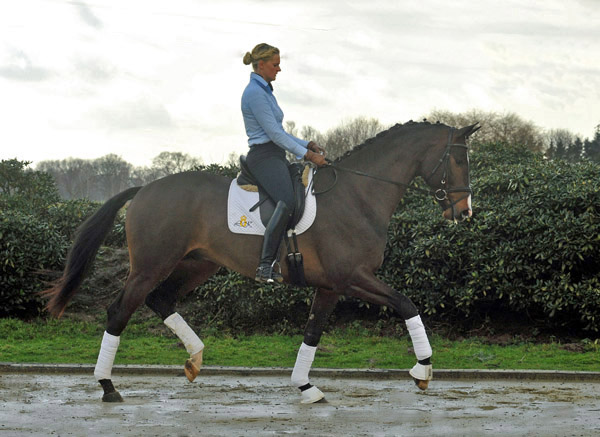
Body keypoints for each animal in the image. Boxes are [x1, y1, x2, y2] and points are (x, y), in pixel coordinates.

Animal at [42, 119, 478, 402]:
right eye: (458, 161)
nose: (465, 212)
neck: (358, 194)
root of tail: (146, 187)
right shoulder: (351, 277)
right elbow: (407, 304)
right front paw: (423, 371)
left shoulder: (330, 286)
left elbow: (313, 332)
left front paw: (305, 386)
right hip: (151, 265)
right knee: (120, 311)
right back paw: (108, 386)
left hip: (198, 263)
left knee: (160, 299)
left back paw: (194, 360)